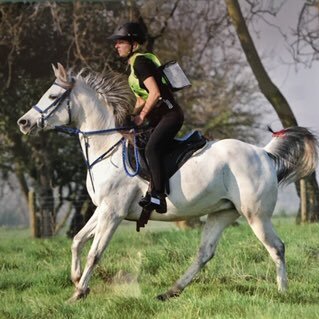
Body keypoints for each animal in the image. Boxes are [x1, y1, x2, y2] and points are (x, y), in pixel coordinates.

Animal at [18, 63, 319, 302]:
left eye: (53, 96)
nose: (23, 122)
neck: (108, 147)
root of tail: (264, 154)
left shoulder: (112, 213)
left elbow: (95, 252)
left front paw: (78, 292)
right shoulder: (103, 209)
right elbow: (77, 241)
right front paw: (77, 280)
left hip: (256, 215)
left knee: (276, 248)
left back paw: (282, 293)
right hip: (222, 213)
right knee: (204, 253)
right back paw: (170, 291)